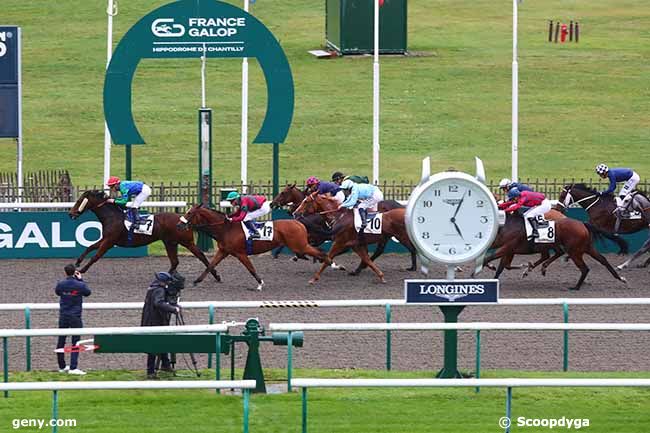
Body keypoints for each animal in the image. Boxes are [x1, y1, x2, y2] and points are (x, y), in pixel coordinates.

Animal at [67, 189, 220, 280]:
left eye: (80, 201)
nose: (71, 213)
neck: (113, 217)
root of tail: (184, 219)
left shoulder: (109, 241)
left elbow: (96, 256)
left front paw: (82, 270)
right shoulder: (106, 238)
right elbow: (90, 247)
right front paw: (77, 262)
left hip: (186, 242)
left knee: (200, 255)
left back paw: (216, 275)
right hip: (170, 242)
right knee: (175, 261)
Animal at [176, 203, 330, 290]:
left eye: (189, 213)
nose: (179, 225)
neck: (226, 228)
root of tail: (299, 223)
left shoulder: (240, 253)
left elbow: (250, 268)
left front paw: (260, 283)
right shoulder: (223, 251)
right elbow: (210, 265)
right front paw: (196, 281)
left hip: (299, 246)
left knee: (321, 253)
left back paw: (325, 269)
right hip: (299, 245)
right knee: (320, 252)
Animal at [270, 183, 416, 272]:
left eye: (283, 192)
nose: (272, 204)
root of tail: (400, 206)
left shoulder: (324, 235)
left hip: (397, 234)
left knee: (406, 247)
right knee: (379, 250)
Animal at [480, 210, 624, 290]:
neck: (507, 225)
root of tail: (583, 224)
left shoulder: (507, 247)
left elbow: (490, 259)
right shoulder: (507, 249)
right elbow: (502, 266)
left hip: (574, 251)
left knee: (584, 268)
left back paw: (575, 287)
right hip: (585, 247)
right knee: (602, 259)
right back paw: (620, 278)